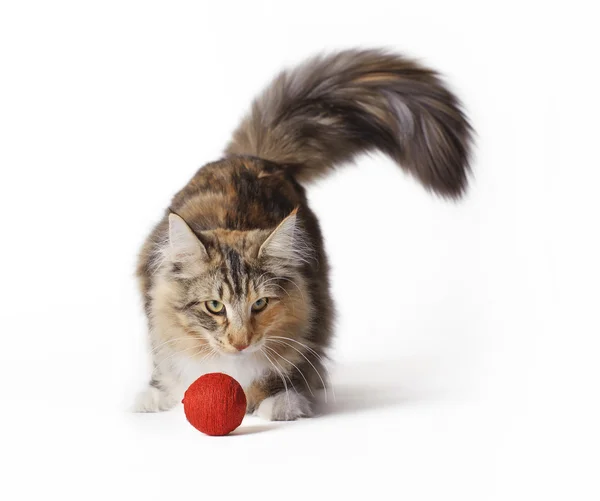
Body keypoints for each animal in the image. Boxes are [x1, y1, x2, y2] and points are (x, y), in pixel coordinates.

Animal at [134, 49, 472, 418]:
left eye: (260, 304)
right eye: (214, 307)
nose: (240, 343)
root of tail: (251, 157)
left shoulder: (306, 317)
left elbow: (282, 372)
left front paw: (278, 401)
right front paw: (162, 394)